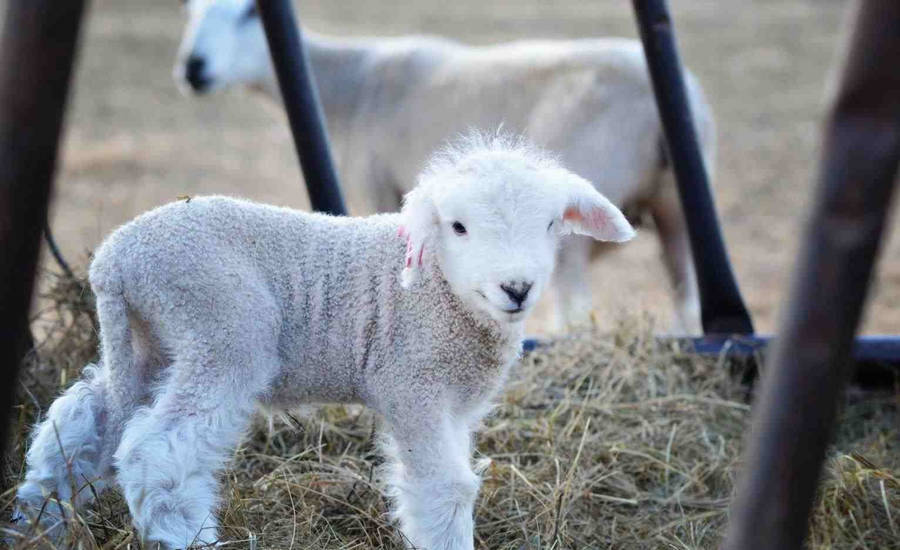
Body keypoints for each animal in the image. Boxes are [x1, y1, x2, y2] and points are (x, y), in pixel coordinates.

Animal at [14, 135, 632, 550]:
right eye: (458, 226)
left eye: (551, 225)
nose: (517, 288)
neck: (440, 293)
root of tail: (114, 262)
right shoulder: (412, 385)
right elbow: (445, 488)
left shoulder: (452, 405)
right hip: (221, 332)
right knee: (154, 450)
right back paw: (187, 537)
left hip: (151, 343)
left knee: (78, 423)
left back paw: (36, 520)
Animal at [172, 0, 712, 334]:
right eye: (191, 11)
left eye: (249, 13)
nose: (193, 69)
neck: (352, 86)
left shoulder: (380, 184)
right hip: (676, 207)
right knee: (687, 297)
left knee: (576, 309)